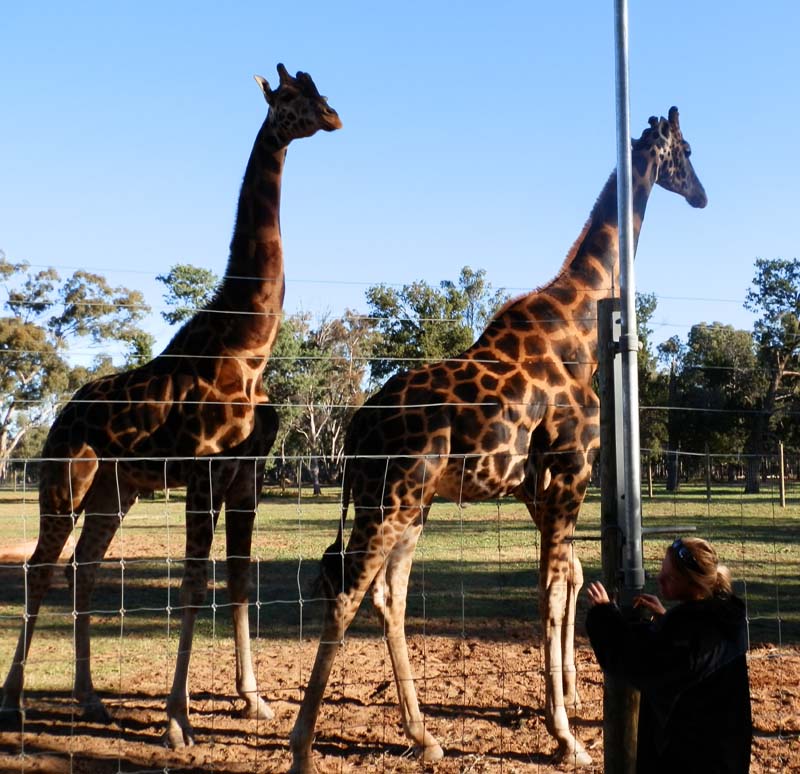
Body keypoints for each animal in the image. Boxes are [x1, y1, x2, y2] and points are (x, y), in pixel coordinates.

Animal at [0, 64, 341, 749]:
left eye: (317, 89)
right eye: (290, 97)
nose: (334, 115)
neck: (250, 344)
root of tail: (61, 414)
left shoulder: (247, 475)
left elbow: (237, 580)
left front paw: (254, 702)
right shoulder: (204, 472)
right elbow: (192, 583)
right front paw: (178, 722)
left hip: (117, 490)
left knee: (84, 569)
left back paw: (92, 701)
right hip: (66, 479)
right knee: (40, 570)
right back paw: (14, 701)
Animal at [289, 107, 706, 771]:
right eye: (686, 151)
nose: (701, 194)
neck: (582, 328)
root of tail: (352, 430)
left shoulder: (540, 486)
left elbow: (566, 577)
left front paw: (566, 707)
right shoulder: (569, 472)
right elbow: (552, 592)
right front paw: (567, 736)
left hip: (415, 504)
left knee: (387, 595)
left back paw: (424, 736)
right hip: (389, 499)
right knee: (348, 593)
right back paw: (304, 745)